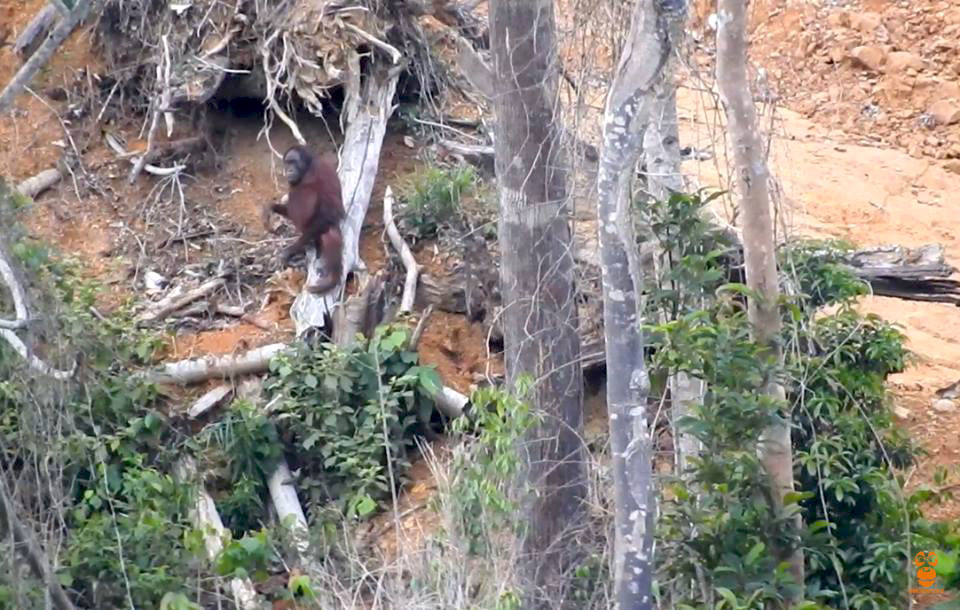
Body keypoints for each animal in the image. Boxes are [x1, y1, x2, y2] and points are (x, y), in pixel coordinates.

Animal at [263, 145, 345, 295]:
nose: (289, 170)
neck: (307, 170)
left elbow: (331, 210)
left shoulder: (322, 171)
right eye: (287, 162)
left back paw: (331, 279)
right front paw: (270, 208)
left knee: (328, 232)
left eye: (294, 162)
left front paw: (292, 249)